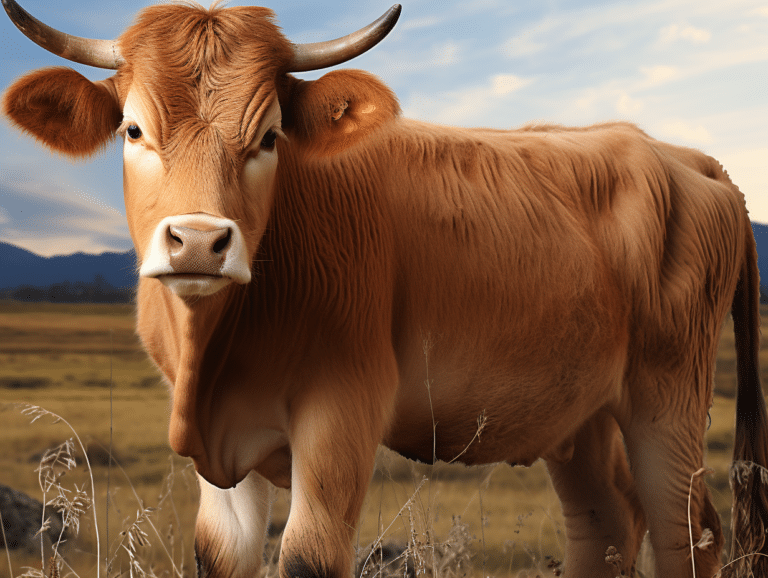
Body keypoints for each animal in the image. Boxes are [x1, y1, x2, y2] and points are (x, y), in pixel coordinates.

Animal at [3, 1, 768, 577]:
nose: (197, 241)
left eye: (270, 135)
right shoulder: (221, 454)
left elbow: (308, 557)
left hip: (668, 401)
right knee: (607, 525)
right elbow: (219, 555)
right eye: (133, 128)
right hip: (582, 416)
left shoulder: (343, 409)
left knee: (686, 532)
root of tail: (681, 156)